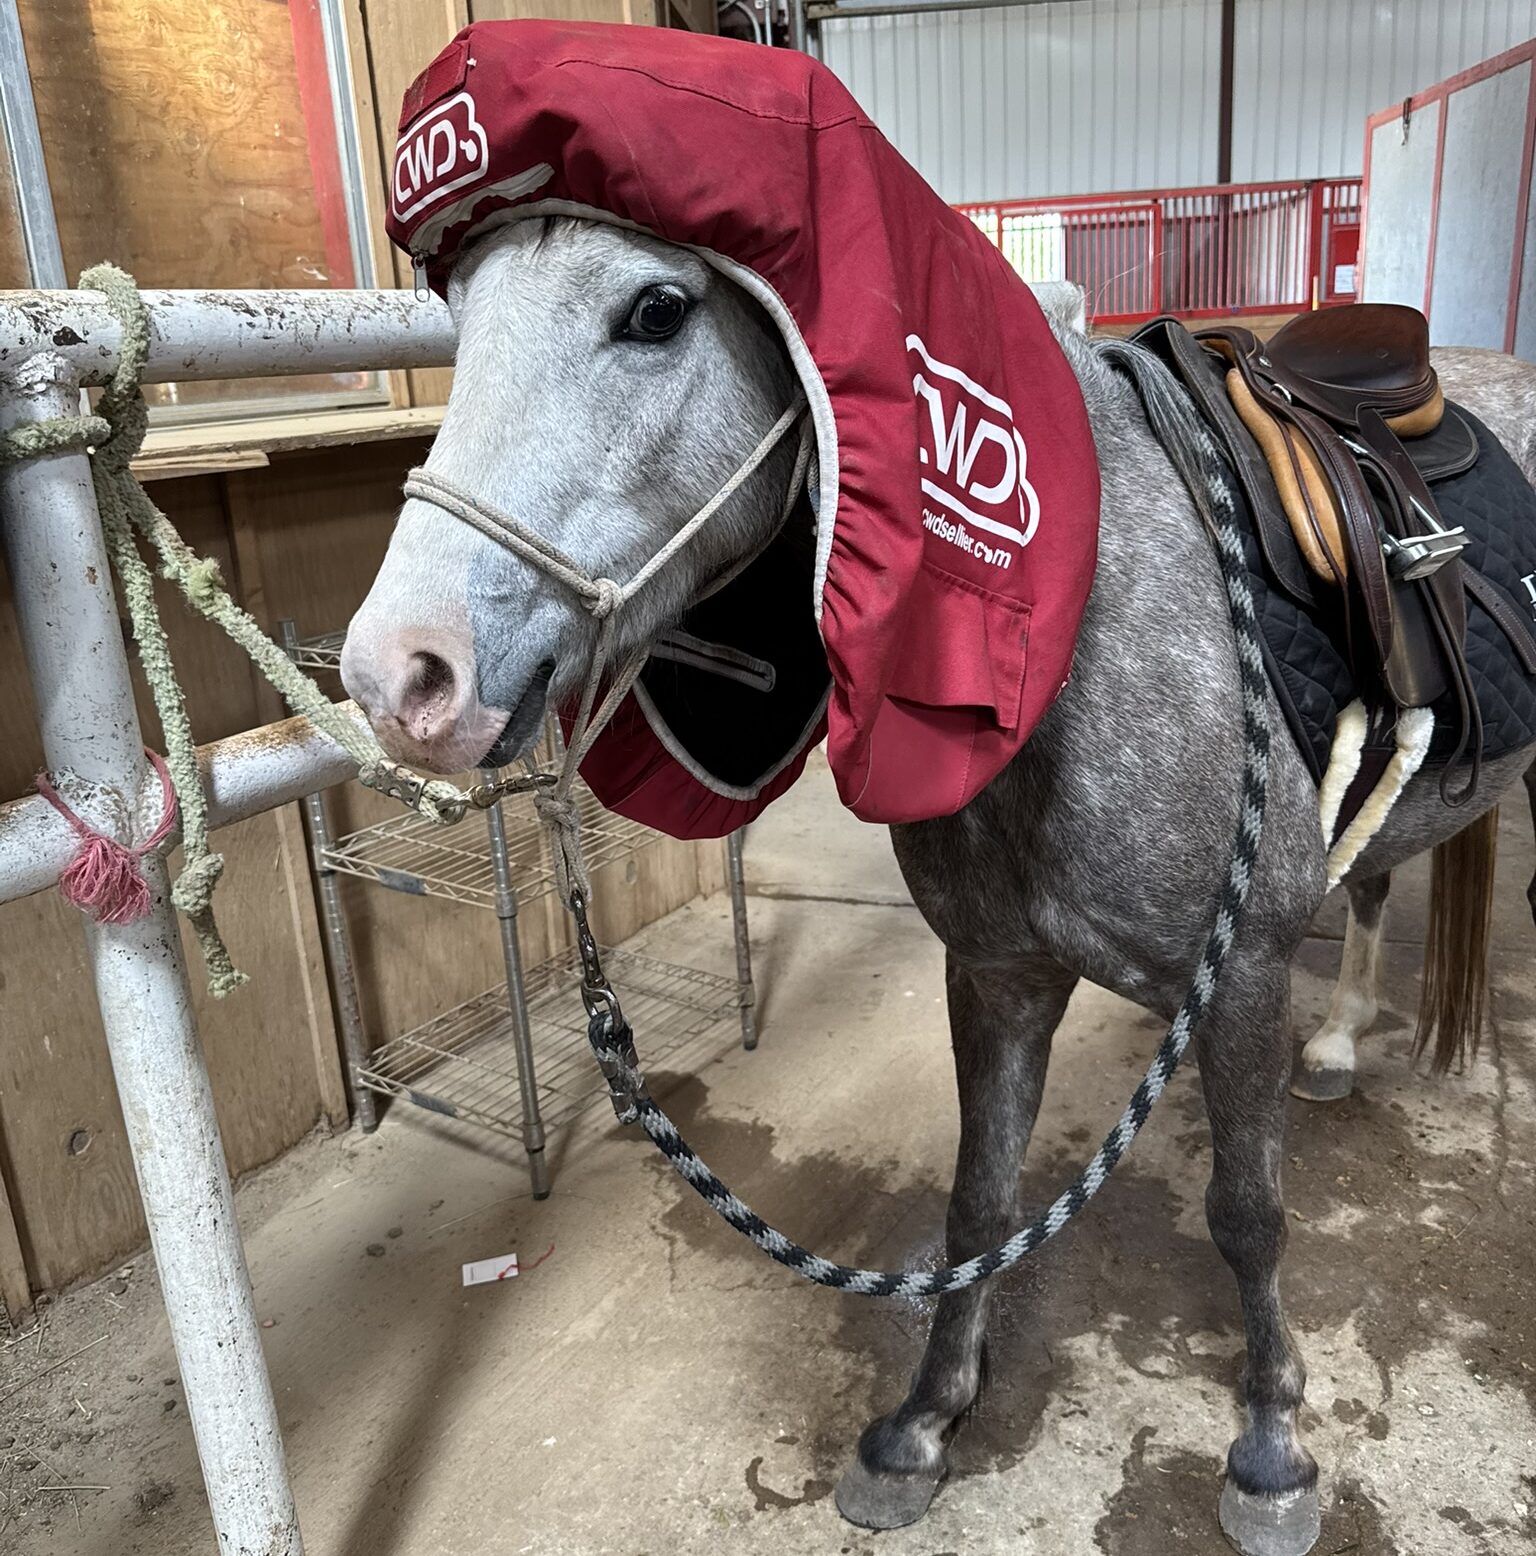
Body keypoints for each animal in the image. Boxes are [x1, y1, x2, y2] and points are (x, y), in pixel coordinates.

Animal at [339, 218, 1536, 1556]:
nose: (399, 675)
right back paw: (1336, 1043)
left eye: (655, 311)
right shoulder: (998, 972)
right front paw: (922, 1421)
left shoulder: (1241, 978)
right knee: (1376, 877)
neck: (1073, 635)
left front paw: (1272, 1446)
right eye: (463, 318)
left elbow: (1248, 1210)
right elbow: (976, 1208)